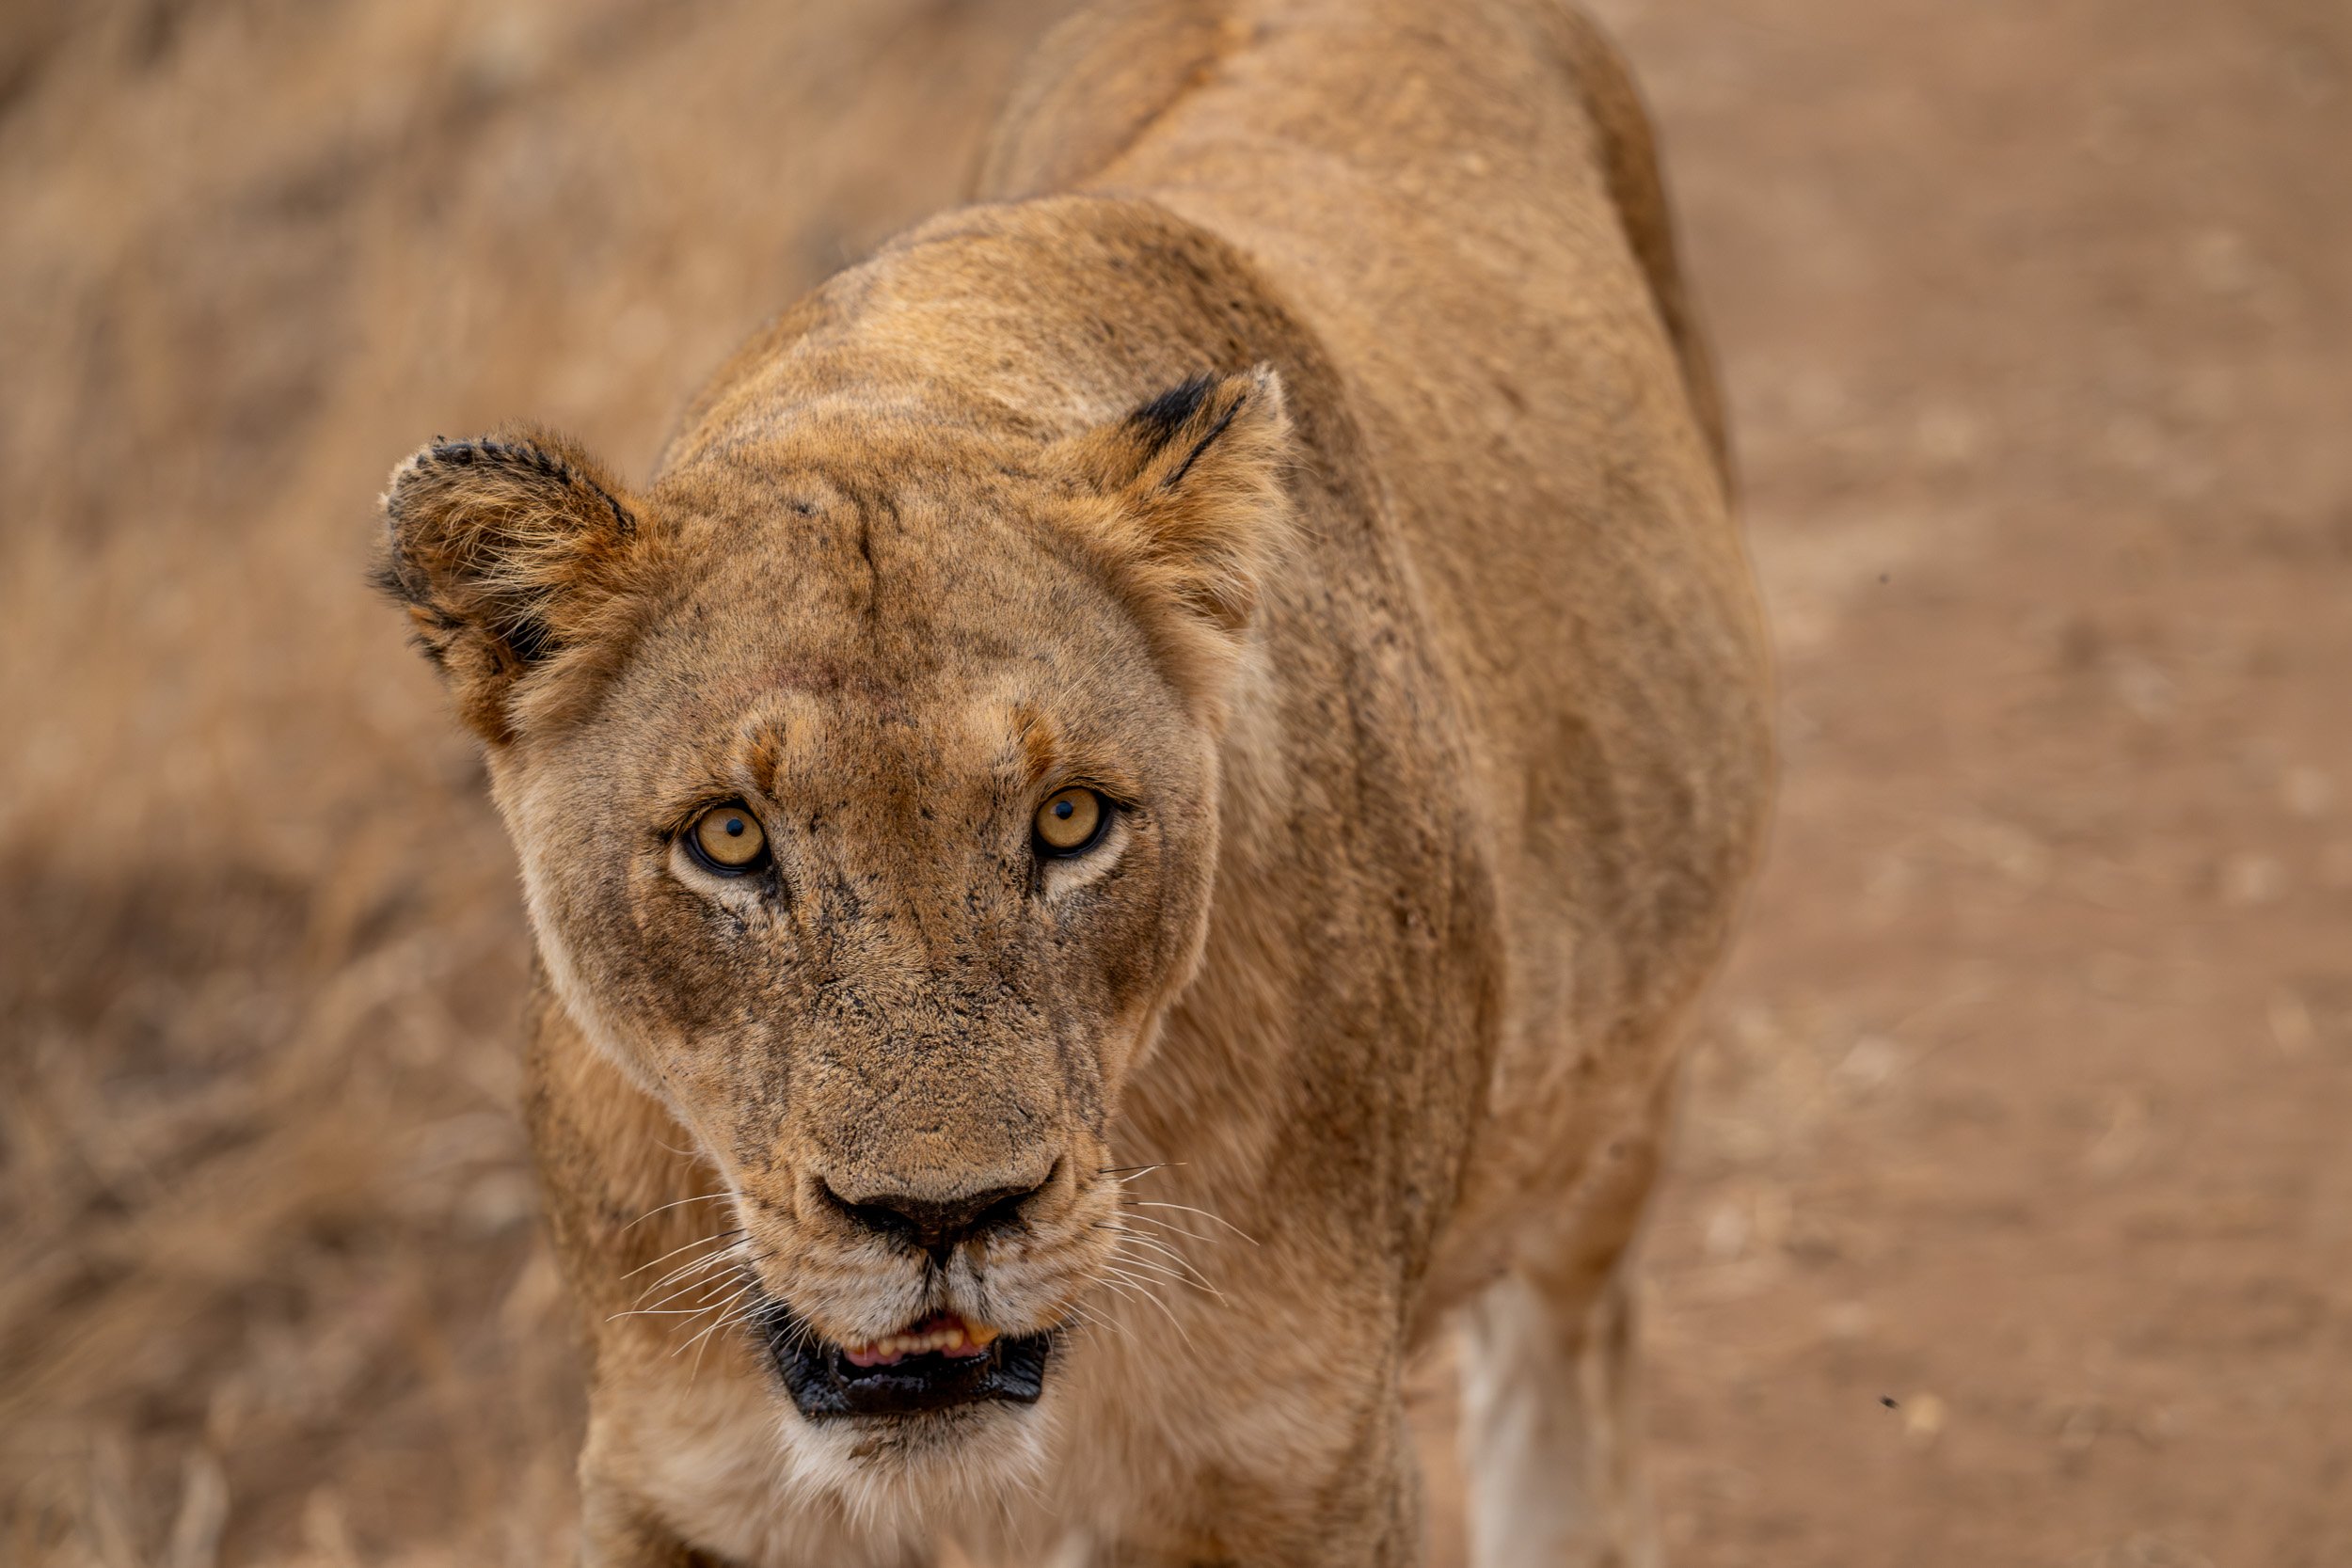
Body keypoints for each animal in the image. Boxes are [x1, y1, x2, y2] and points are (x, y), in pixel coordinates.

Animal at [374, 0, 1770, 1562]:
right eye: (728, 836)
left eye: (1070, 818)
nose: (942, 1214)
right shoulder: (670, 1478)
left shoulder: (1308, 1459)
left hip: (1621, 1092)